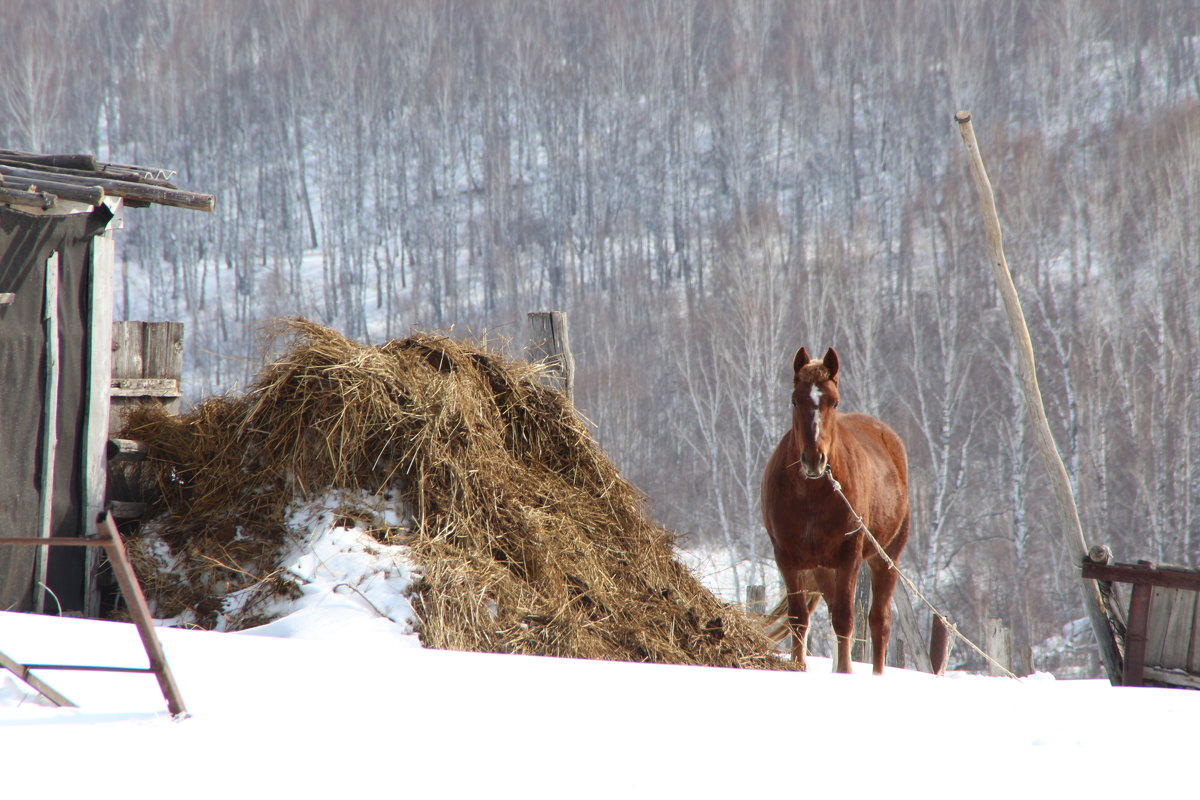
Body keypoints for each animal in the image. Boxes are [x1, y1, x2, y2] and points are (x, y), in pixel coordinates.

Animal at [758, 347, 907, 671]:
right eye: (795, 400)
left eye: (834, 402)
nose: (814, 459)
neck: (812, 497)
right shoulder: (786, 557)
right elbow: (799, 618)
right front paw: (798, 665)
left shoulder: (850, 555)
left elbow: (844, 619)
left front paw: (844, 671)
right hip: (823, 568)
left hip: (886, 557)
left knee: (879, 621)